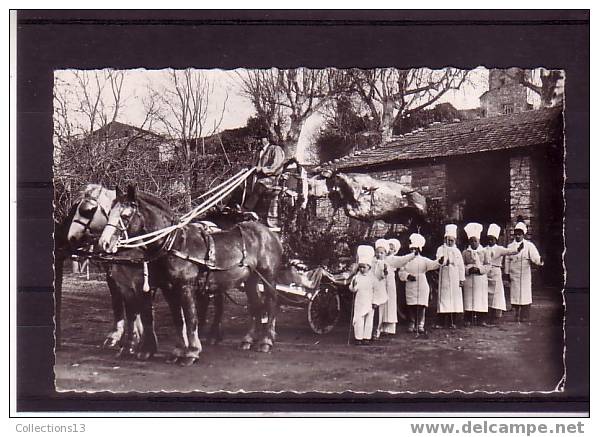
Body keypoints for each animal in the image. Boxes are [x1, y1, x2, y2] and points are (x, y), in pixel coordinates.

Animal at [100, 184, 284, 364]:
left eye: (125, 215)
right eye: (109, 214)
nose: (104, 243)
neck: (175, 244)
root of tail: (269, 232)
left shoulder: (185, 287)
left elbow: (190, 318)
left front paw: (192, 352)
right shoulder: (168, 289)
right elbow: (178, 319)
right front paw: (178, 351)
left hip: (268, 276)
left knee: (271, 303)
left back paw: (266, 341)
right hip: (251, 279)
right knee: (256, 305)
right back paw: (248, 339)